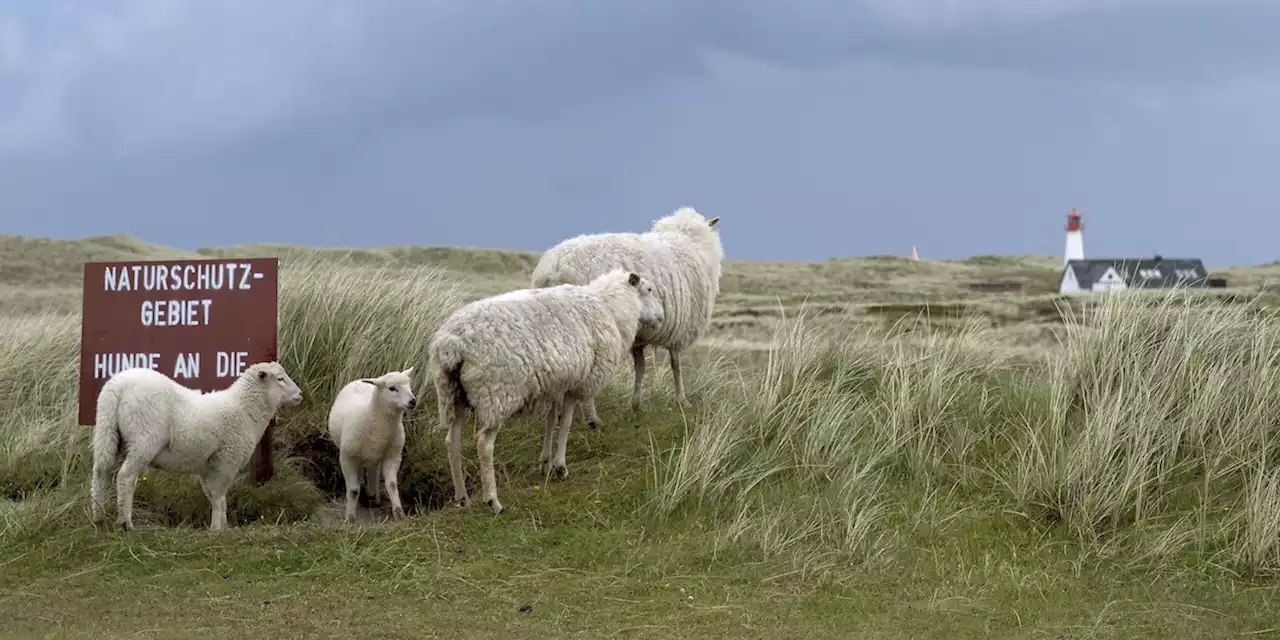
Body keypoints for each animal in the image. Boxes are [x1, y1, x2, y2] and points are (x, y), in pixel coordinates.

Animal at [88, 363, 303, 532]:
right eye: (280, 379)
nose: (300, 394)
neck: (244, 410)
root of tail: (117, 386)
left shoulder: (207, 465)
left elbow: (213, 495)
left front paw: (223, 526)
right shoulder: (226, 460)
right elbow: (218, 496)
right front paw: (217, 529)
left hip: (107, 431)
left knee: (100, 472)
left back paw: (98, 518)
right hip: (144, 438)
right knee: (125, 476)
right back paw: (125, 523)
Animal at [327, 368, 417, 522]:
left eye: (409, 385)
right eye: (392, 388)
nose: (412, 401)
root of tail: (359, 380)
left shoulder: (393, 455)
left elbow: (392, 485)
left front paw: (399, 513)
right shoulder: (347, 458)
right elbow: (353, 490)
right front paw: (350, 518)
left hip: (376, 455)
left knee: (373, 469)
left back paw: (374, 497)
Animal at [432, 268, 665, 514]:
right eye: (649, 289)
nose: (662, 317)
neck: (610, 307)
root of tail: (451, 345)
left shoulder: (556, 384)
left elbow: (551, 421)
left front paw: (546, 462)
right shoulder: (578, 382)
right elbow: (566, 423)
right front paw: (560, 466)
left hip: (452, 394)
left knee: (451, 441)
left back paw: (462, 497)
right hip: (497, 394)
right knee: (484, 445)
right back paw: (493, 501)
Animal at [529, 204, 727, 427]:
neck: (688, 241)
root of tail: (554, 268)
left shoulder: (640, 333)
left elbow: (640, 366)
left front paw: (636, 404)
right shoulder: (678, 329)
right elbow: (675, 364)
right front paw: (682, 400)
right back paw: (591, 418)